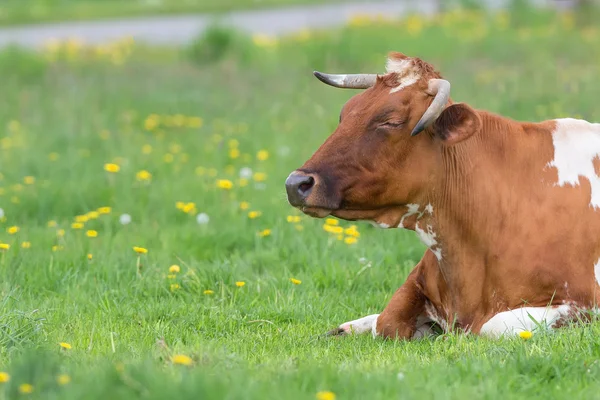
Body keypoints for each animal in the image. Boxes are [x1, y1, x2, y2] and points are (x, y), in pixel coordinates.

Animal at [284, 51, 600, 340]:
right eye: (344, 114)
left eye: (391, 121)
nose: (296, 183)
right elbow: (387, 321)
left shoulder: (583, 302)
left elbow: (492, 326)